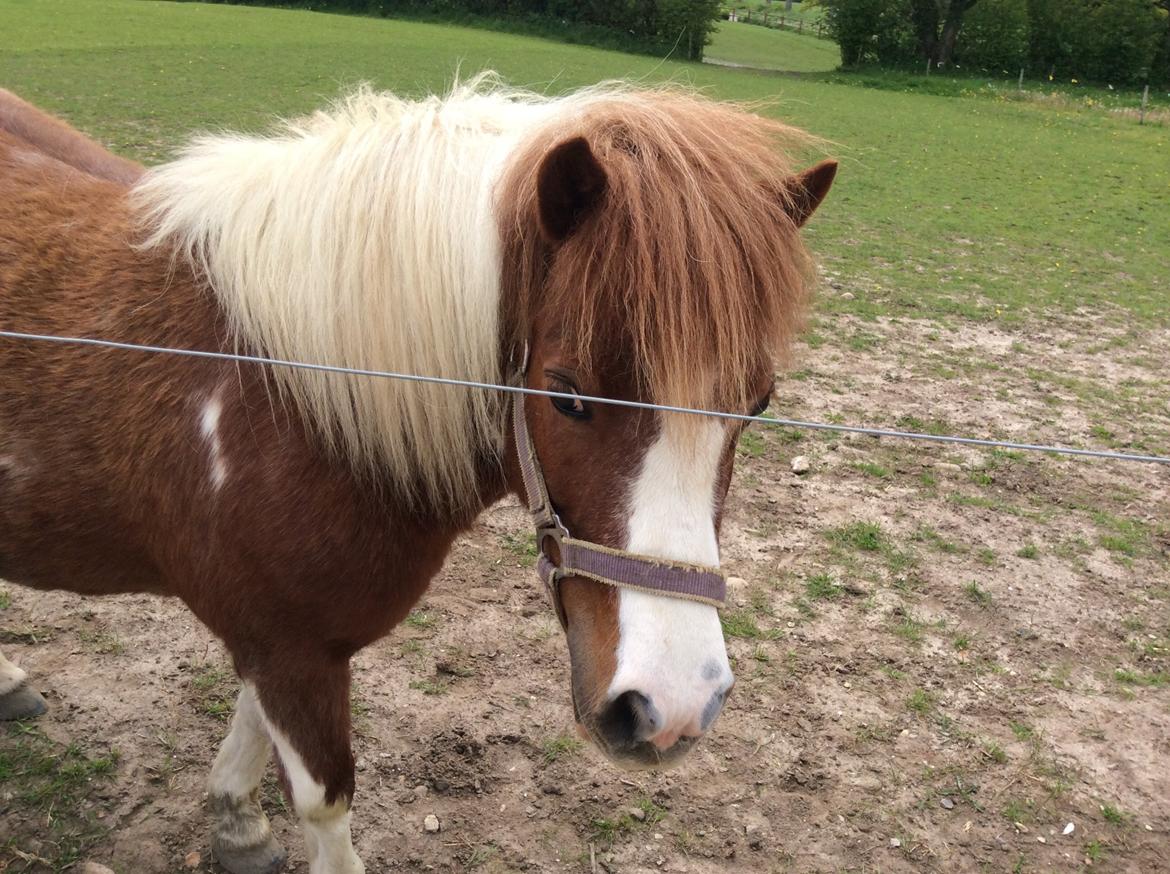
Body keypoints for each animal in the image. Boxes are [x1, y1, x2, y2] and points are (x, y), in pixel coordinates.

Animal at [2, 76, 842, 874]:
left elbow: (250, 722)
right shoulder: (289, 648)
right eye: (566, 394)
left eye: (758, 403)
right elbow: (323, 801)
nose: (672, 707)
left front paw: (236, 822)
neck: (290, 396)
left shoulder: (280, 638)